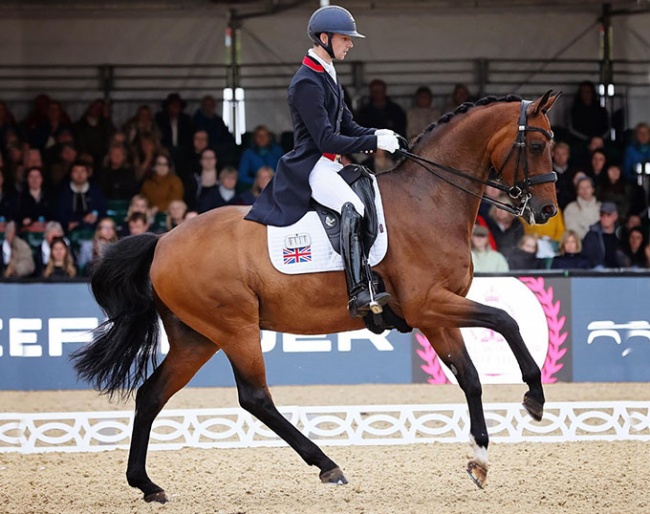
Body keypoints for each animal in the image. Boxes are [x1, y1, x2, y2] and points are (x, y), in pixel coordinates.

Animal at [69, 91, 556, 500]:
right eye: (536, 146)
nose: (546, 210)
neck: (429, 200)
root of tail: (163, 241)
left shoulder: (434, 315)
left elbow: (470, 376)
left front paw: (479, 460)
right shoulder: (428, 304)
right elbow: (505, 320)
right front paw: (534, 397)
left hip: (196, 337)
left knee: (152, 395)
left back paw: (146, 484)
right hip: (234, 327)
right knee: (255, 398)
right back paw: (327, 465)